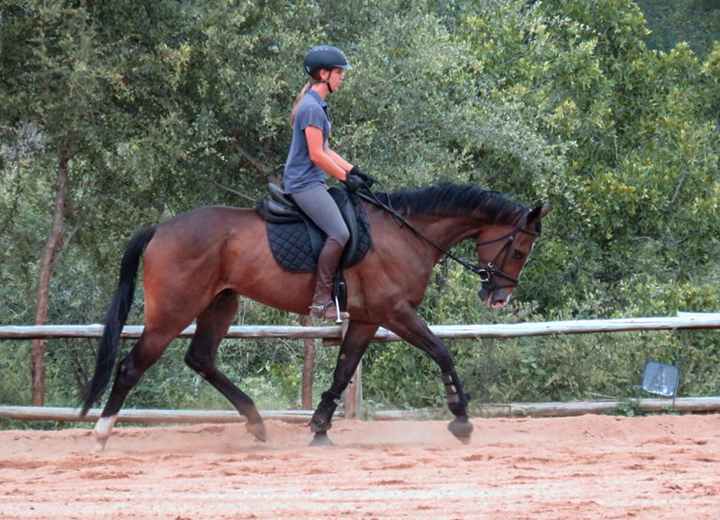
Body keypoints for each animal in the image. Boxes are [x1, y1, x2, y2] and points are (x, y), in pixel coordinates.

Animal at [80, 182, 550, 450]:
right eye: (520, 249)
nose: (499, 297)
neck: (406, 233)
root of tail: (160, 228)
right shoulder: (394, 311)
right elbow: (442, 352)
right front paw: (461, 419)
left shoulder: (367, 318)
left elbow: (343, 371)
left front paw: (320, 427)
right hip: (173, 311)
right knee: (132, 366)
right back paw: (101, 435)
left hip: (220, 304)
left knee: (200, 359)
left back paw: (257, 424)